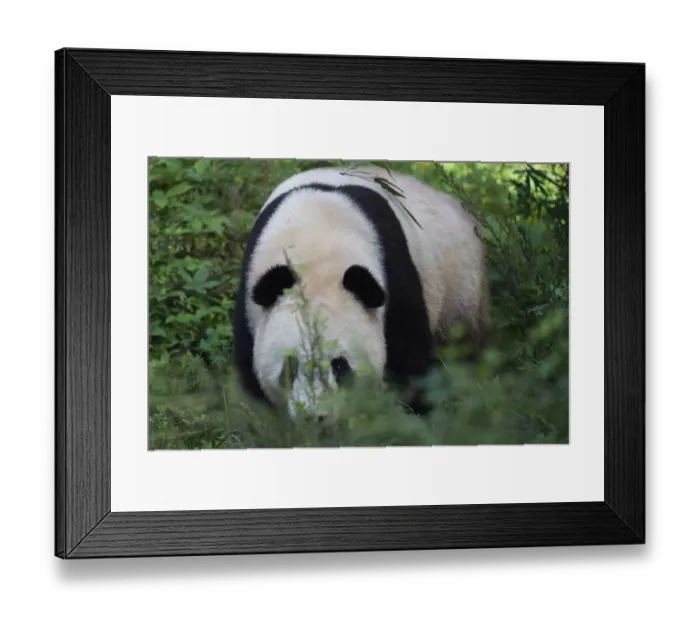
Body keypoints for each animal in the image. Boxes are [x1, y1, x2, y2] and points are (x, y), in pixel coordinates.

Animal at [233, 165, 489, 418]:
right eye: (291, 365)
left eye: (339, 365)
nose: (316, 417)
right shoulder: (251, 304)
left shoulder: (395, 279)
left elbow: (410, 363)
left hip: (458, 286)